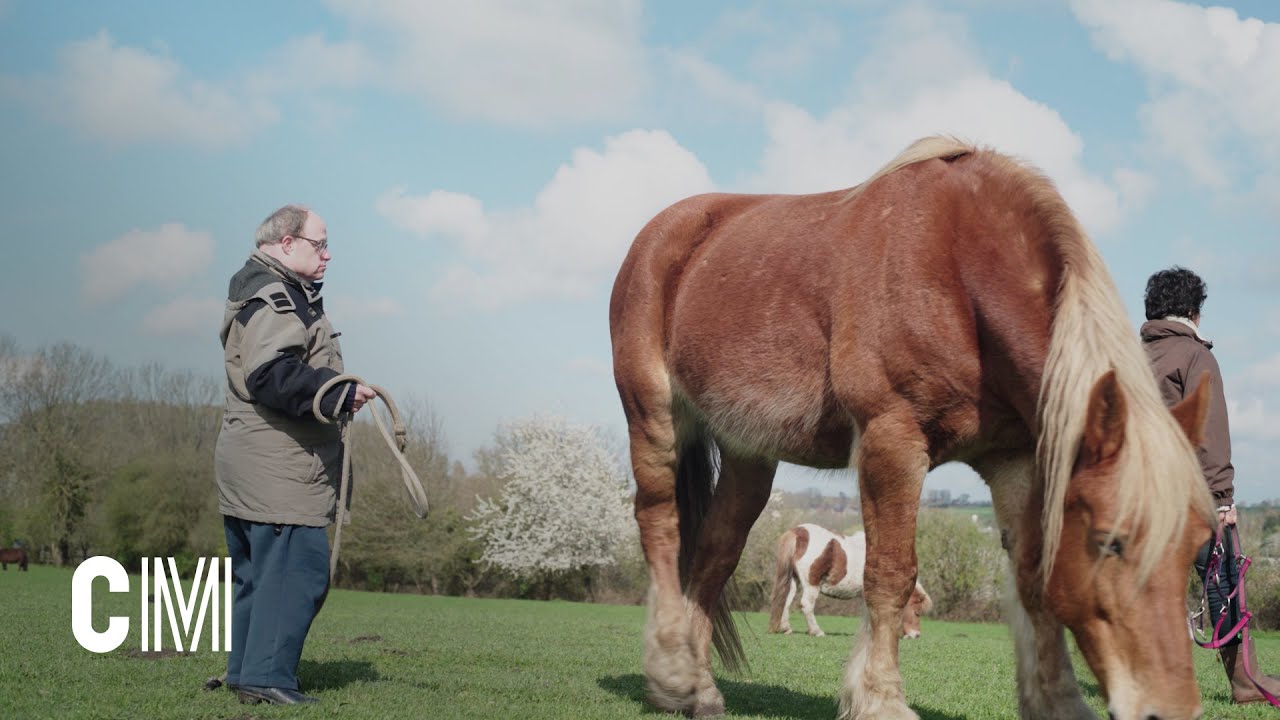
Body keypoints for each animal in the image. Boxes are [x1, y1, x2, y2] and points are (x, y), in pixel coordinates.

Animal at [762, 525, 936, 635]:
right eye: (917, 612)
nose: (916, 635)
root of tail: (798, 532)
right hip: (811, 585)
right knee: (806, 605)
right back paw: (816, 631)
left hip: (793, 580)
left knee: (786, 600)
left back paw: (786, 628)